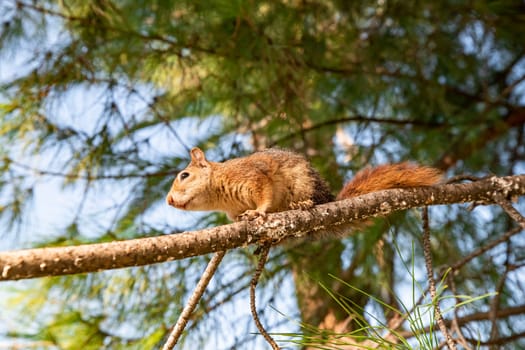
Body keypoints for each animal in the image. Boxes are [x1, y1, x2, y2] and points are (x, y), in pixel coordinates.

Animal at [165, 147, 442, 227]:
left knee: (313, 200)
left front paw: (258, 212)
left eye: (184, 175)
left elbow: (264, 195)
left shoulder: (253, 178)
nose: (168, 201)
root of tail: (329, 197)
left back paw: (305, 203)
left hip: (304, 183)